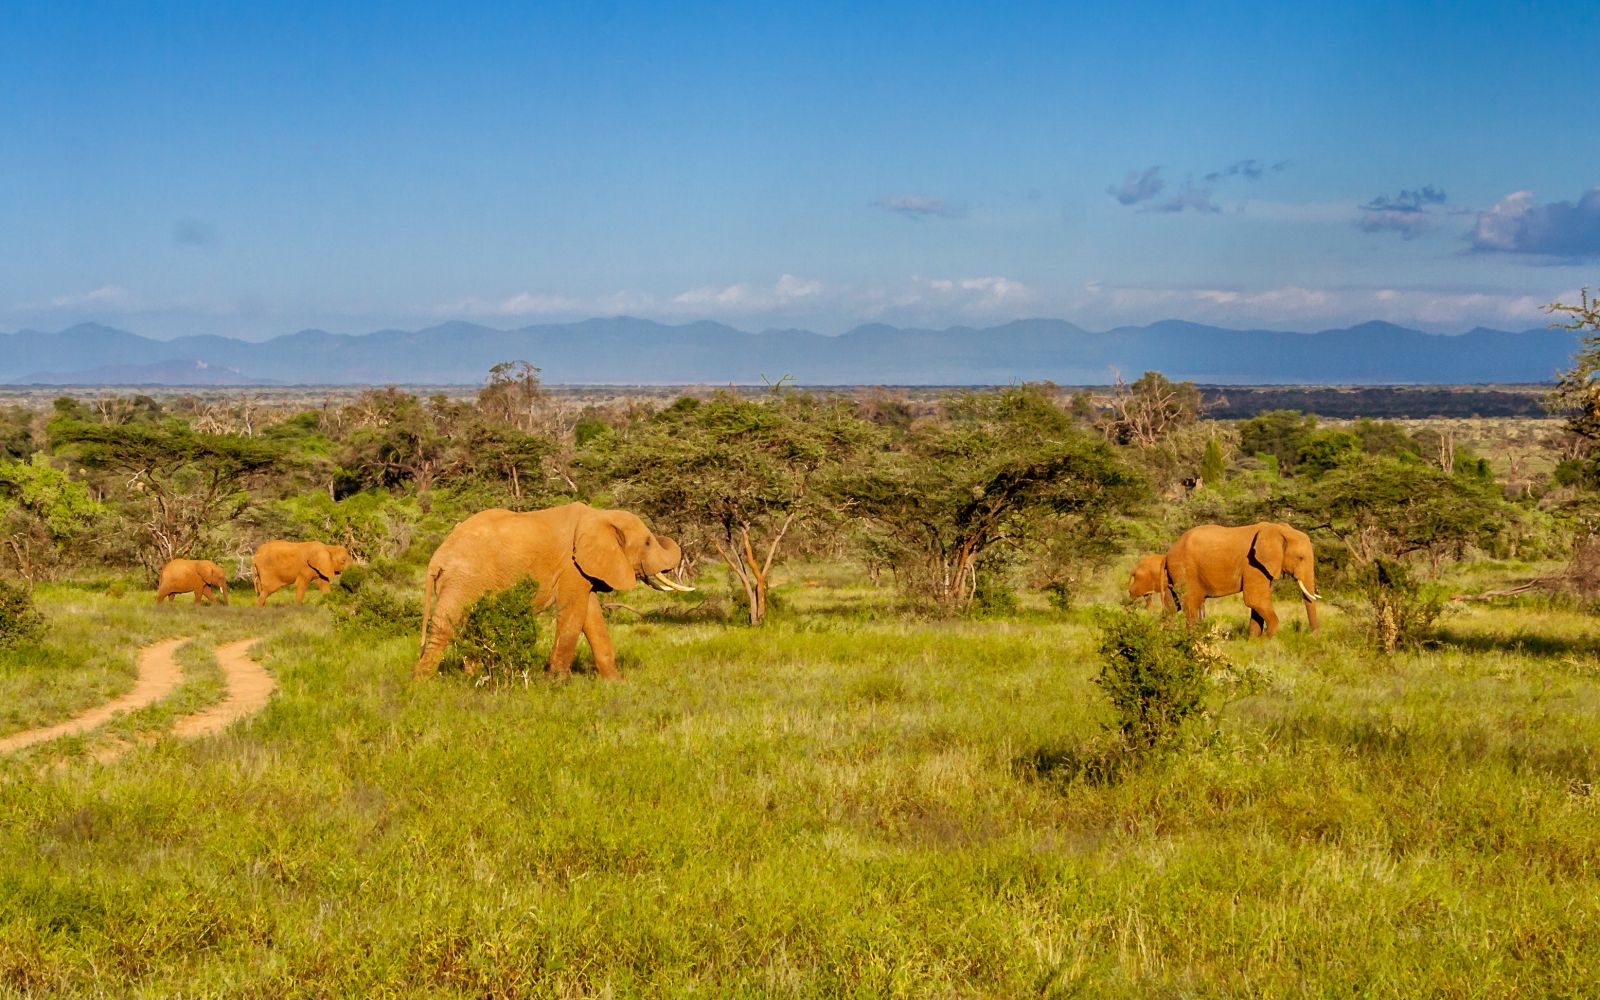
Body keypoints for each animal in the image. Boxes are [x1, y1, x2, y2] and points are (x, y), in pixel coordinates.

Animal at [409, 499, 691, 678]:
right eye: (647, 542)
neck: (599, 515)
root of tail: (436, 558)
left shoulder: (582, 570)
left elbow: (590, 615)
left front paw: (615, 684)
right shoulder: (570, 565)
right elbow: (573, 612)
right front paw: (557, 683)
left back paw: (474, 678)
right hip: (462, 578)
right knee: (446, 625)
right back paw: (421, 685)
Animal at [1164, 518, 1324, 636]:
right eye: (1301, 558)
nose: (1313, 636)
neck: (1277, 529)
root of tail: (1169, 551)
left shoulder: (1261, 566)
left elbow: (1257, 603)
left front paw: (1253, 640)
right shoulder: (1252, 564)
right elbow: (1255, 600)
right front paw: (1267, 638)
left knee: (1172, 605)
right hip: (1183, 568)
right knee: (1190, 602)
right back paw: (1192, 637)